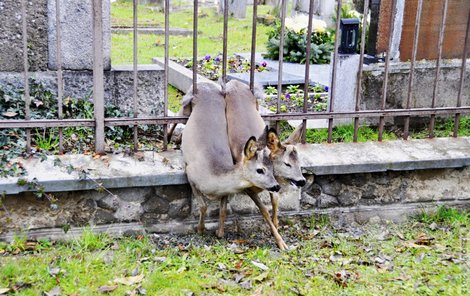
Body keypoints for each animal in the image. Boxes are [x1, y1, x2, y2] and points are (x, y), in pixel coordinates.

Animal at [182, 82, 280, 239]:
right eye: (260, 170)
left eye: (272, 168)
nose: (276, 186)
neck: (213, 175)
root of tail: (206, 84)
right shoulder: (190, 173)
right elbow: (203, 206)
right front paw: (200, 229)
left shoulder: (225, 192)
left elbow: (223, 209)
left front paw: (220, 232)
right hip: (187, 103)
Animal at [221, 79, 306, 250]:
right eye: (287, 164)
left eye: (299, 163)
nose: (302, 181)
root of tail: (234, 81)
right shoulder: (248, 186)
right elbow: (264, 211)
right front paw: (280, 241)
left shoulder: (275, 186)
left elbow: (275, 203)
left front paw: (277, 225)